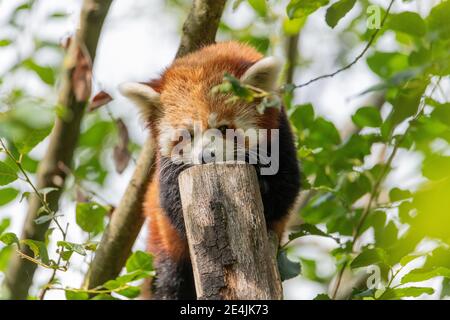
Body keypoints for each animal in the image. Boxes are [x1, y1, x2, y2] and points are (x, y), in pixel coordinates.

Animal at [121, 42, 300, 300]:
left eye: (223, 128)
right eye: (187, 135)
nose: (206, 156)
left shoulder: (282, 143)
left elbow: (283, 194)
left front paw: (262, 183)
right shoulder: (166, 174)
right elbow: (174, 207)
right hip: (163, 240)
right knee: (170, 279)